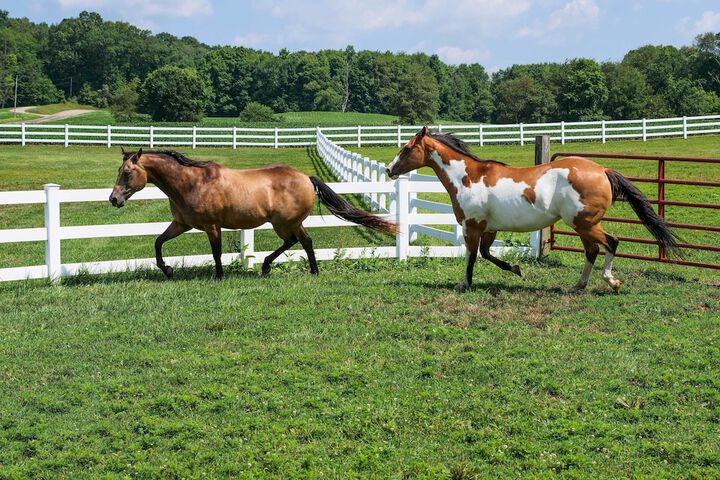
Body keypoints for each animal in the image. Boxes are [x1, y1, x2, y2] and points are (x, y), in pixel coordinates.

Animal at [110, 148, 396, 279]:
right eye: (119, 171)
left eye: (127, 173)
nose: (114, 199)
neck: (192, 183)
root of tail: (306, 177)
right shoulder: (181, 224)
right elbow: (158, 242)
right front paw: (167, 270)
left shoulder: (212, 226)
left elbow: (216, 252)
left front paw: (218, 276)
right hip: (289, 223)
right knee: (303, 241)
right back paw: (300, 270)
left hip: (284, 223)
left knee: (297, 241)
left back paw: (276, 267)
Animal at [386, 127, 680, 293]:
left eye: (407, 148)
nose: (389, 169)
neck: (468, 177)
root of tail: (602, 169)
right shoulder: (489, 229)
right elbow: (487, 254)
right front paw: (517, 269)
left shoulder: (473, 226)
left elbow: (472, 256)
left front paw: (465, 284)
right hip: (582, 225)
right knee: (592, 251)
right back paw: (578, 286)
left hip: (585, 223)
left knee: (611, 243)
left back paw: (612, 282)